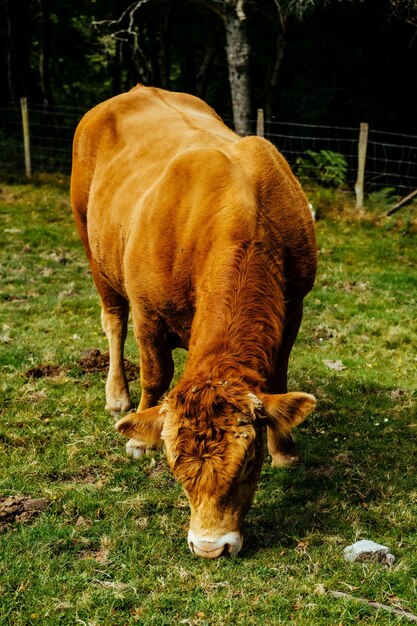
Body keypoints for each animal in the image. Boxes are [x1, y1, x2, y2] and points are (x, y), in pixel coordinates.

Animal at [71, 84, 316, 556]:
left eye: (250, 463)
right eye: (174, 468)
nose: (209, 547)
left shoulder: (295, 303)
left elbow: (279, 376)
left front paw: (286, 450)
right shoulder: (148, 311)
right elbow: (154, 374)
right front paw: (138, 437)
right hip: (90, 241)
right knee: (114, 320)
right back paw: (117, 395)